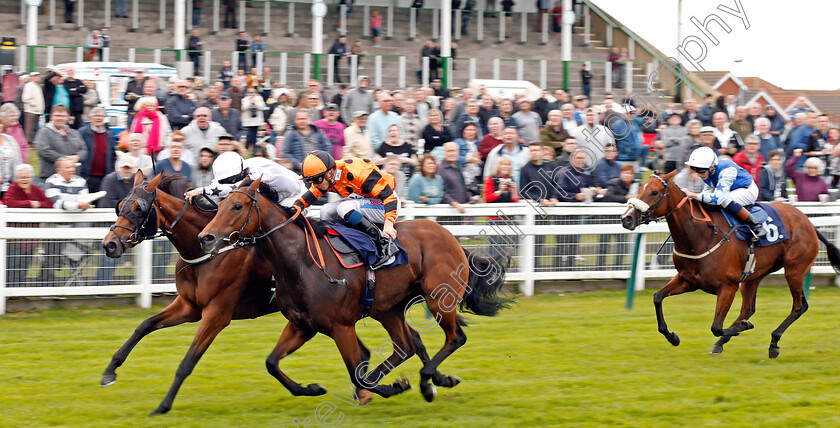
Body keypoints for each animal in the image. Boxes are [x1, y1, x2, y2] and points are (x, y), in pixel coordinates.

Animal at [199, 176, 512, 402]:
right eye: (220, 205)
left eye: (237, 206)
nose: (206, 237)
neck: (302, 261)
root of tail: (451, 237)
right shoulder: (302, 325)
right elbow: (272, 363)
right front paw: (311, 388)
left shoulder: (341, 327)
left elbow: (357, 374)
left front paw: (393, 387)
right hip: (388, 308)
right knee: (406, 346)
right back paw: (433, 381)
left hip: (437, 298)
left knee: (454, 338)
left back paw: (428, 379)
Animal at [616, 170, 840, 358]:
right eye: (640, 188)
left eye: (654, 192)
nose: (626, 218)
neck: (700, 235)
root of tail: (808, 221)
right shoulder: (688, 280)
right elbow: (657, 297)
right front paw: (673, 337)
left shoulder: (728, 287)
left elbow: (716, 326)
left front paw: (743, 327)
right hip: (753, 275)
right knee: (748, 308)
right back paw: (724, 342)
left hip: (795, 269)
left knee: (799, 306)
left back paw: (773, 342)